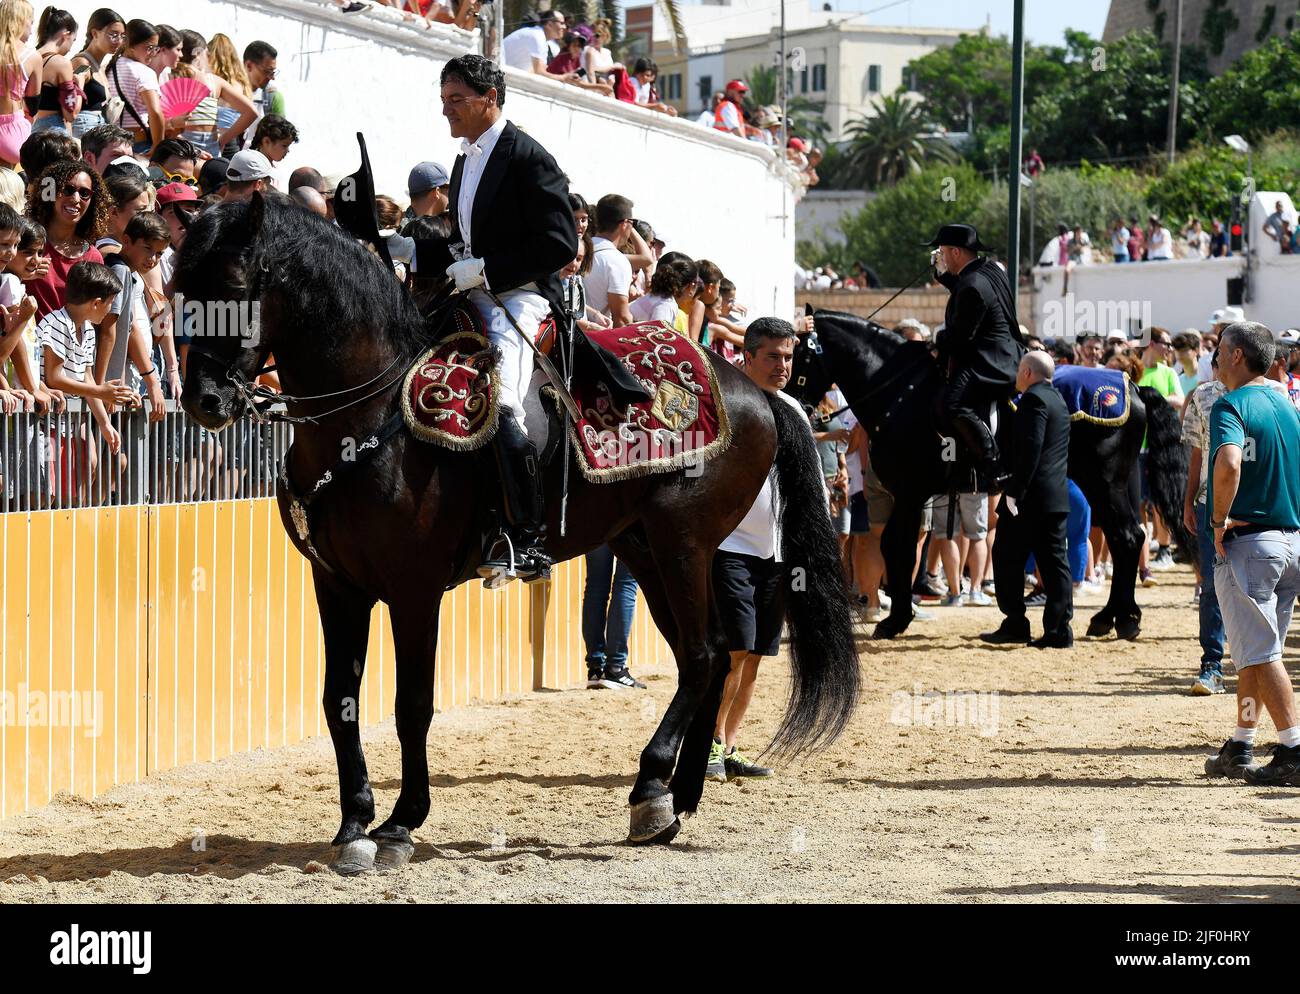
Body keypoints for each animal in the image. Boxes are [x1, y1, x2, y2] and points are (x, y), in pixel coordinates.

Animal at [172, 197, 863, 873]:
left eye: (233, 287)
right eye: (180, 288)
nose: (203, 401)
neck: (370, 420)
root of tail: (758, 391)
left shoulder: (414, 590)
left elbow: (411, 704)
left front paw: (400, 824)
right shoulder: (337, 585)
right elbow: (339, 700)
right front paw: (353, 827)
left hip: (682, 545)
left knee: (702, 653)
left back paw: (657, 791)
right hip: (645, 549)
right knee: (713, 655)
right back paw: (670, 795)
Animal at [780, 310, 1190, 644]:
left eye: (799, 354)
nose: (795, 406)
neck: (900, 392)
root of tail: (1131, 386)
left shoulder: (910, 494)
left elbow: (898, 549)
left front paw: (896, 620)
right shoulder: (908, 497)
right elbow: (897, 549)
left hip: (1104, 482)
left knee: (1126, 537)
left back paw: (1117, 618)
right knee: (1128, 538)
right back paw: (1115, 618)